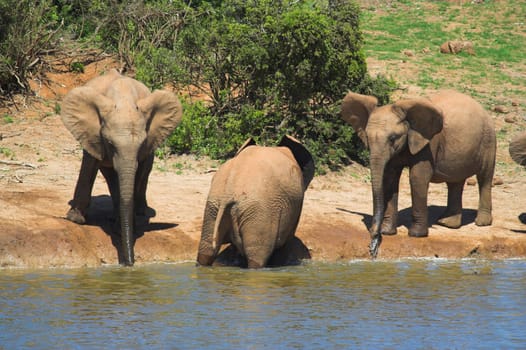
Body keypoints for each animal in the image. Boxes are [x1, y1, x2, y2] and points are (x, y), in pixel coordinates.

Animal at [61, 68, 184, 266]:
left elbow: (139, 171)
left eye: (141, 145)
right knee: (110, 175)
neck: (123, 100)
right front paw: (76, 219)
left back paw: (139, 212)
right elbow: (89, 165)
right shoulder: (92, 133)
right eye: (110, 144)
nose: (129, 263)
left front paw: (125, 226)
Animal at [344, 89, 498, 258]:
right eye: (367, 137)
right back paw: (447, 223)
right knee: (455, 182)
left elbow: (417, 178)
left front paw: (416, 235)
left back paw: (481, 222)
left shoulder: (428, 143)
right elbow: (390, 179)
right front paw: (387, 231)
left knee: (484, 177)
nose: (373, 242)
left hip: (489, 140)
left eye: (393, 138)